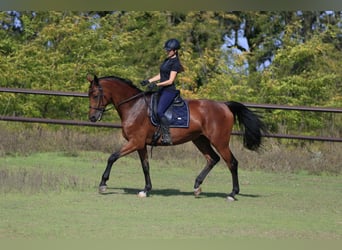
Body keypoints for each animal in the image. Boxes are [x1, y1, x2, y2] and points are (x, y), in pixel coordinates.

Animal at [86, 73, 268, 200]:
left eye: (95, 95)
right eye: (89, 95)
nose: (93, 118)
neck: (134, 106)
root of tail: (224, 105)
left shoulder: (135, 142)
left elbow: (112, 157)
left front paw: (103, 184)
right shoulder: (141, 144)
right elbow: (145, 166)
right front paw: (146, 189)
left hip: (220, 141)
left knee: (232, 163)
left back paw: (232, 193)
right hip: (200, 140)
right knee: (213, 159)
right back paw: (197, 186)